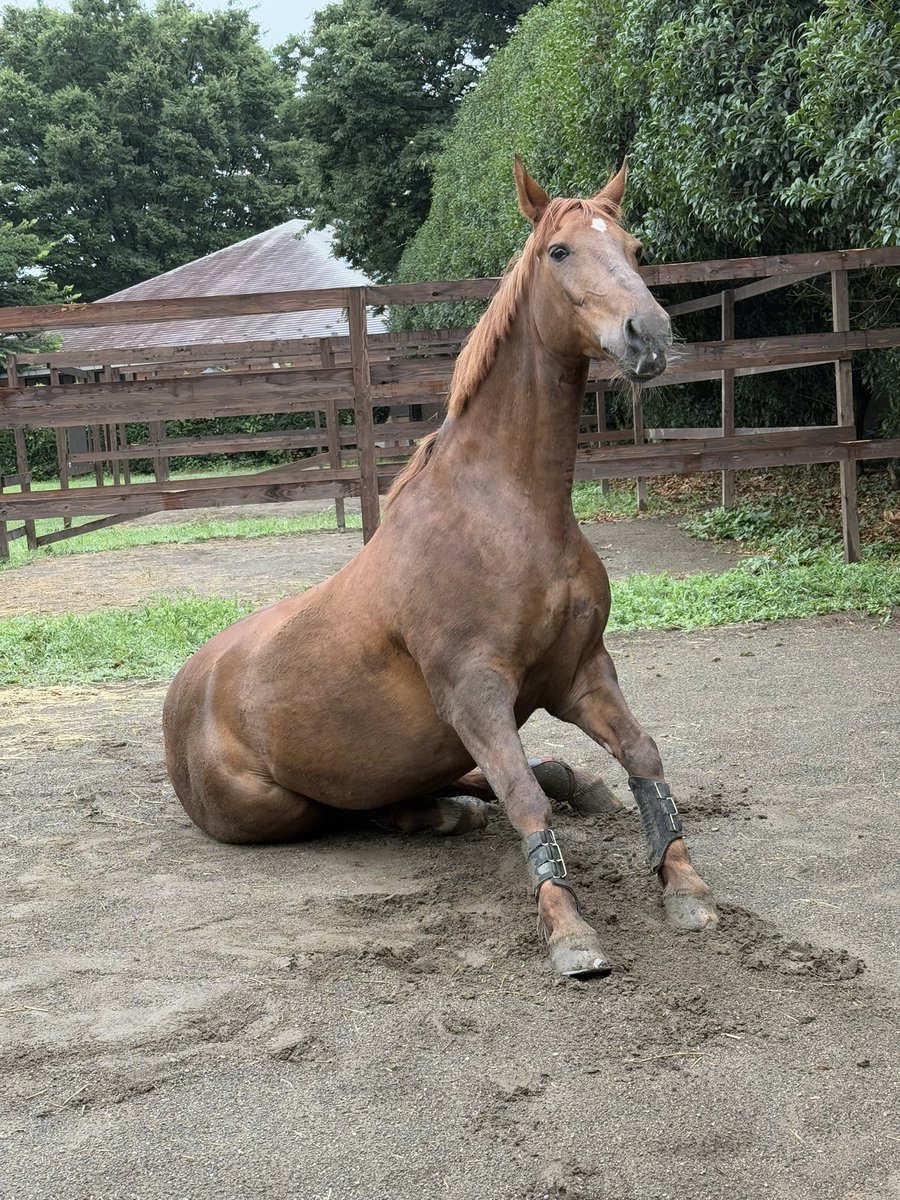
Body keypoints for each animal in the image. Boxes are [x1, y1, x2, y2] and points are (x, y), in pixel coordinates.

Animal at [163, 158, 719, 978]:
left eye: (634, 247)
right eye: (559, 251)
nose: (647, 335)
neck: (507, 514)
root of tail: (183, 693)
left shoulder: (580, 672)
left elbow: (641, 754)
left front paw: (683, 884)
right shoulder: (475, 692)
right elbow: (522, 797)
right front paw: (570, 931)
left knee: (452, 787)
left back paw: (544, 787)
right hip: (281, 808)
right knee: (369, 810)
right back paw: (455, 812)